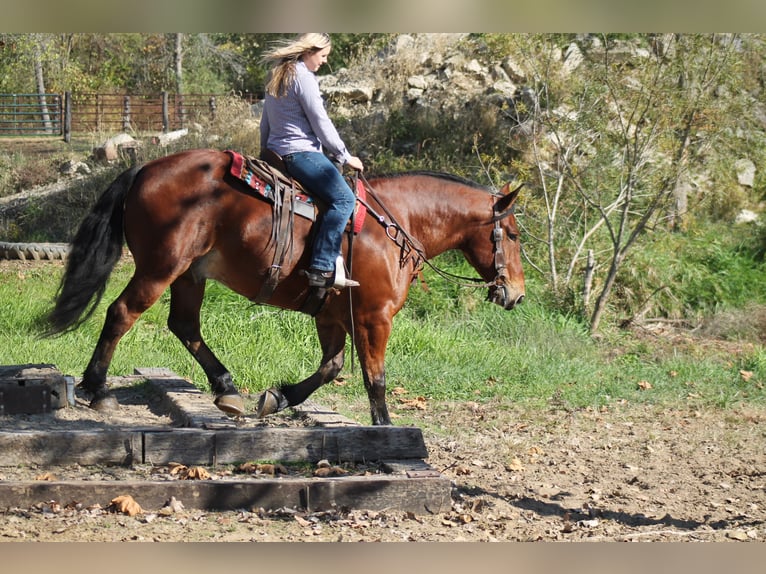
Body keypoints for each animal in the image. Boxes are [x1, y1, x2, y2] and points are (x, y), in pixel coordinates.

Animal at [45, 148, 525, 426]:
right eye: (514, 234)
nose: (516, 293)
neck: (397, 221)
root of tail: (145, 167)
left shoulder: (333, 316)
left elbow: (331, 367)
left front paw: (277, 397)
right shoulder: (374, 317)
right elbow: (375, 377)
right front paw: (386, 430)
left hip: (190, 275)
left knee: (184, 326)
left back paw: (227, 389)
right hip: (160, 267)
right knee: (122, 313)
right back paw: (97, 390)